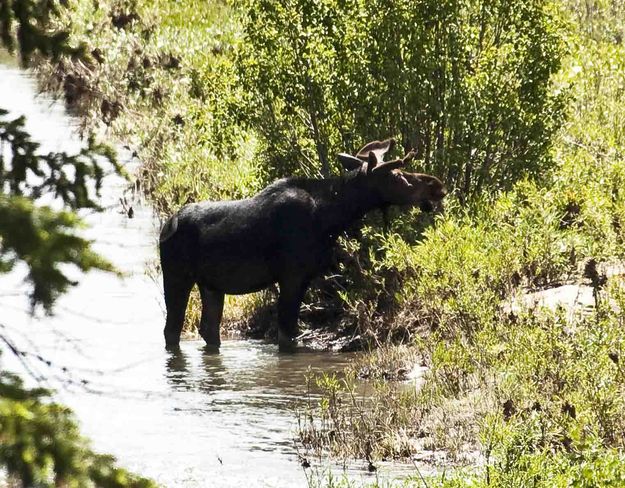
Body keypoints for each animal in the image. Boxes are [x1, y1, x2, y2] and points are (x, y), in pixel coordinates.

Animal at [158, 139, 446, 352]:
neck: (330, 217)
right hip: (177, 277)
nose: (437, 186)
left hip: (211, 285)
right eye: (397, 176)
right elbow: (287, 334)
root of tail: (165, 228)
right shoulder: (292, 276)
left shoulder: (304, 277)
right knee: (172, 329)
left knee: (208, 329)